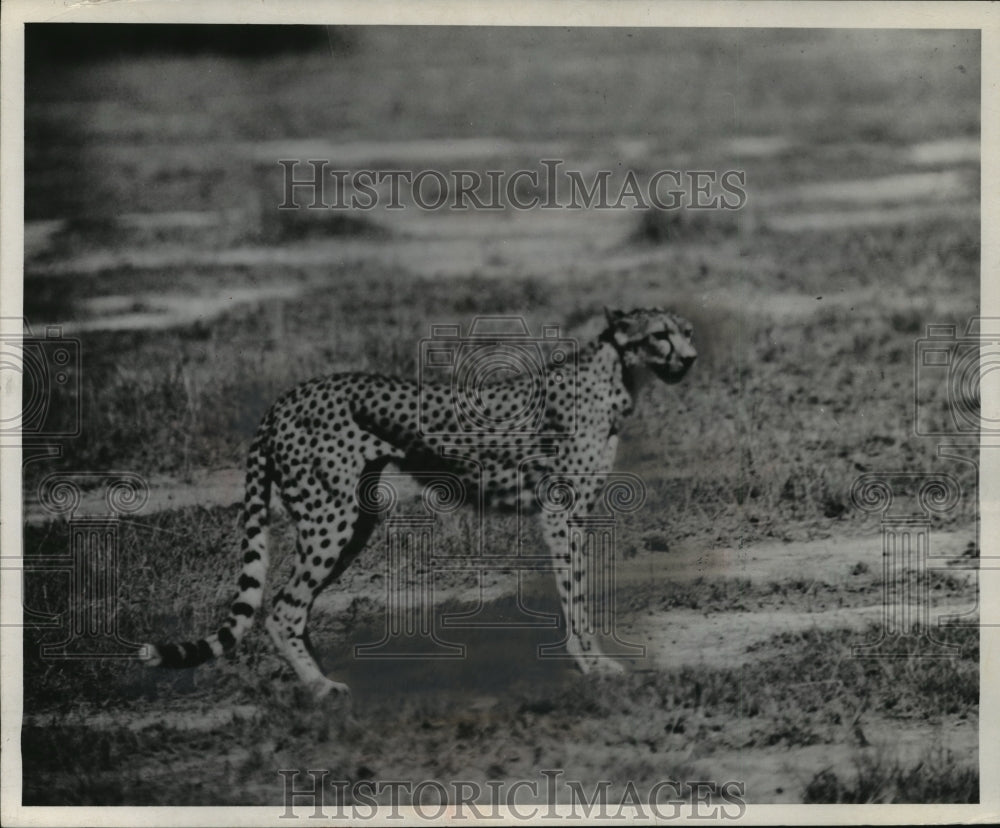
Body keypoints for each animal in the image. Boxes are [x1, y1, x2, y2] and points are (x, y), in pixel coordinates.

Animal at [142, 307, 696, 699]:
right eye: (659, 335)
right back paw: (319, 688)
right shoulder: (561, 514)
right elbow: (574, 595)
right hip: (332, 518)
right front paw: (593, 665)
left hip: (356, 519)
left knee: (294, 606)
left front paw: (593, 660)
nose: (690, 357)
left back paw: (324, 676)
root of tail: (288, 395)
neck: (616, 376)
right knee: (283, 608)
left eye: (687, 331)